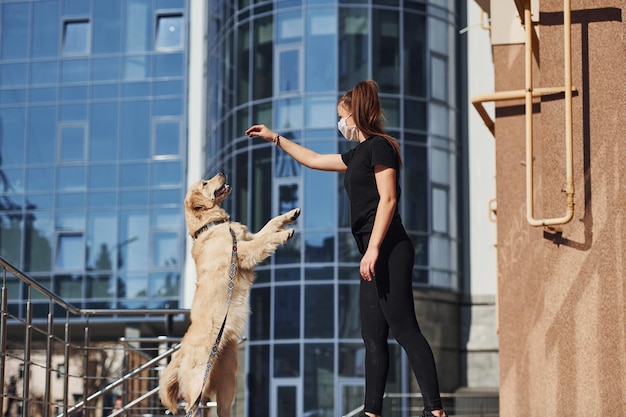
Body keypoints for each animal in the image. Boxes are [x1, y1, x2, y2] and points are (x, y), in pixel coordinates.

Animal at [160, 171, 298, 412]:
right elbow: (266, 238)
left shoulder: (247, 238)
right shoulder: (242, 250)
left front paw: (288, 215)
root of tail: (180, 352)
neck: (212, 225)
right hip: (198, 384)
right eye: (205, 183)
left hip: (226, 389)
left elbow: (268, 226)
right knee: (190, 408)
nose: (223, 173)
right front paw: (285, 234)